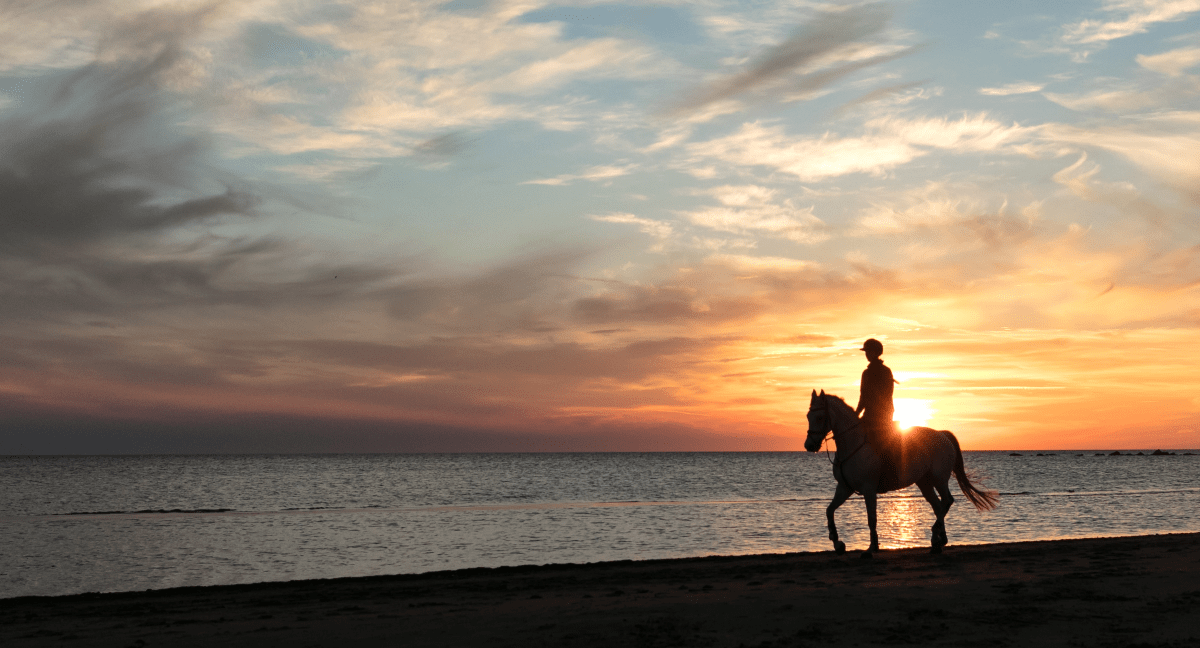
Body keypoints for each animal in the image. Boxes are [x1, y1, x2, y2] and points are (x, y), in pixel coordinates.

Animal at [806, 388, 1003, 556]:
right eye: (808, 416)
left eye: (820, 417)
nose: (809, 446)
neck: (852, 445)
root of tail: (942, 434)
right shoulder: (844, 488)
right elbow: (829, 510)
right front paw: (837, 543)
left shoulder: (869, 489)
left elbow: (871, 518)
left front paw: (871, 549)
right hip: (924, 483)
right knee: (938, 505)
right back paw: (938, 541)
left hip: (939, 479)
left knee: (946, 501)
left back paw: (936, 537)